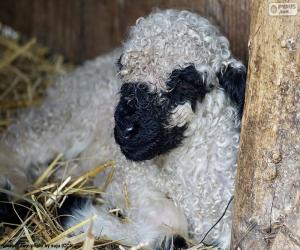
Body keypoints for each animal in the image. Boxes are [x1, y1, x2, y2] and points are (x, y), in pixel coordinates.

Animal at [0, 8, 246, 249]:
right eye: (124, 72)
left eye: (185, 82)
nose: (125, 128)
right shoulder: (127, 177)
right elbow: (170, 221)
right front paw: (78, 212)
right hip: (67, 117)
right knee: (18, 141)